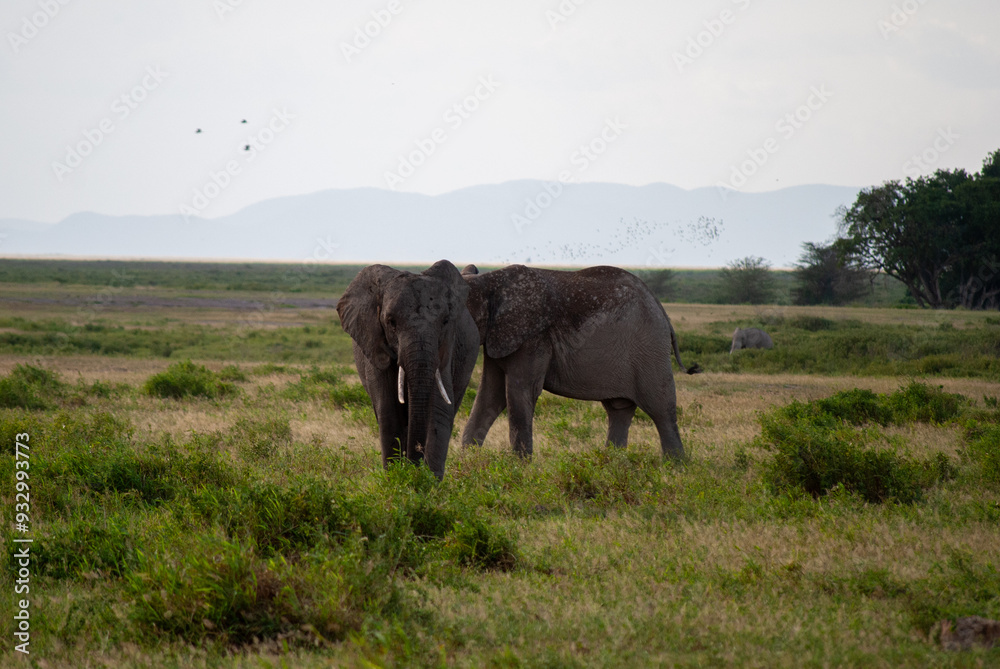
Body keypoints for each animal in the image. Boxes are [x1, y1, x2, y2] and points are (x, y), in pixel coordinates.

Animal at [336, 260, 479, 479]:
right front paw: (396, 478)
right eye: (391, 322)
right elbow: (388, 413)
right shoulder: (376, 346)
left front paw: (427, 482)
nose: (414, 465)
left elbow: (438, 411)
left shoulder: (447, 348)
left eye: (445, 322)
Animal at [459, 264, 699, 461]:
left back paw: (676, 468)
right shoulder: (500, 337)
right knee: (619, 410)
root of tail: (663, 313)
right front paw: (468, 464)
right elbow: (490, 395)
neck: (491, 282)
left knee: (660, 409)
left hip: (650, 348)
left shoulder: (534, 337)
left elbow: (519, 392)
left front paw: (518, 469)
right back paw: (612, 464)